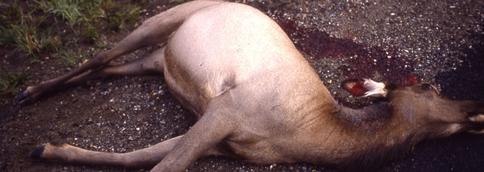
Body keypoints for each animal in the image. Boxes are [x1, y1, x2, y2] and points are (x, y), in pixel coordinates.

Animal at [17, 0, 482, 171]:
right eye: (429, 88)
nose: (474, 106)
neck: (311, 134)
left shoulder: (222, 138)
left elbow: (138, 159)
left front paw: (48, 149)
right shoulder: (226, 109)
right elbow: (162, 166)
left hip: (158, 62)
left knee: (111, 69)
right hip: (163, 19)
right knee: (98, 57)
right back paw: (31, 91)